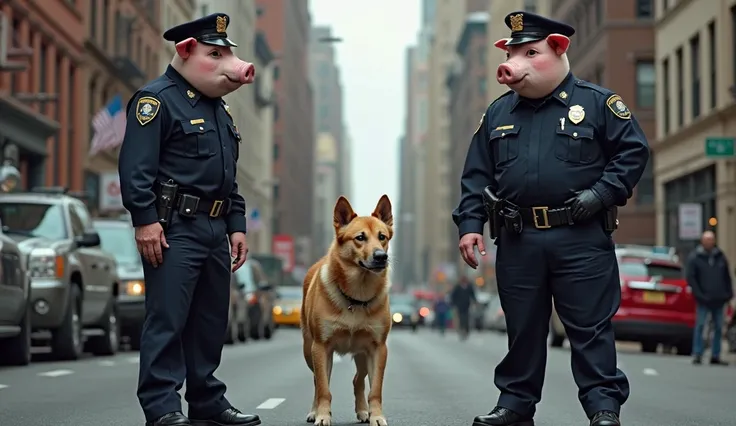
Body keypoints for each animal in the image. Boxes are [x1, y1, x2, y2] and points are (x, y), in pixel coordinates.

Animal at [300, 196, 394, 426]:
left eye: (382, 237)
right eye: (360, 237)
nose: (381, 256)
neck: (357, 296)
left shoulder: (378, 348)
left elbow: (375, 389)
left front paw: (376, 416)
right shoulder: (321, 347)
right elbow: (324, 388)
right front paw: (323, 415)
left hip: (362, 353)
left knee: (357, 379)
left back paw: (363, 411)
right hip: (309, 350)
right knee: (317, 381)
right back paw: (315, 410)